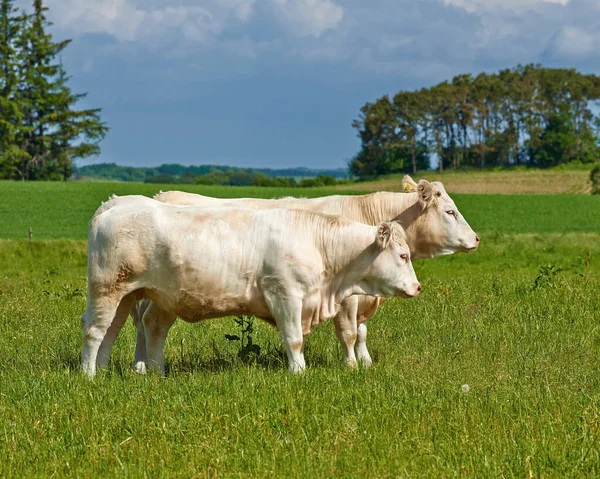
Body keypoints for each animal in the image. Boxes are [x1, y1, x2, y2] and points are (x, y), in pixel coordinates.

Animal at [81, 195, 422, 378]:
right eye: (403, 255)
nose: (418, 287)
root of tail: (116, 203)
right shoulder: (284, 294)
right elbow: (294, 339)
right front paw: (299, 372)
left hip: (136, 295)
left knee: (124, 329)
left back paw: (128, 371)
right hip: (107, 288)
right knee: (95, 330)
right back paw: (89, 375)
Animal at [134, 176, 480, 372]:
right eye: (450, 211)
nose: (476, 238)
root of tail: (162, 195)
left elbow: (362, 332)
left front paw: (366, 362)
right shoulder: (348, 296)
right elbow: (349, 332)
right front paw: (351, 365)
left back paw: (141, 366)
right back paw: (142, 366)